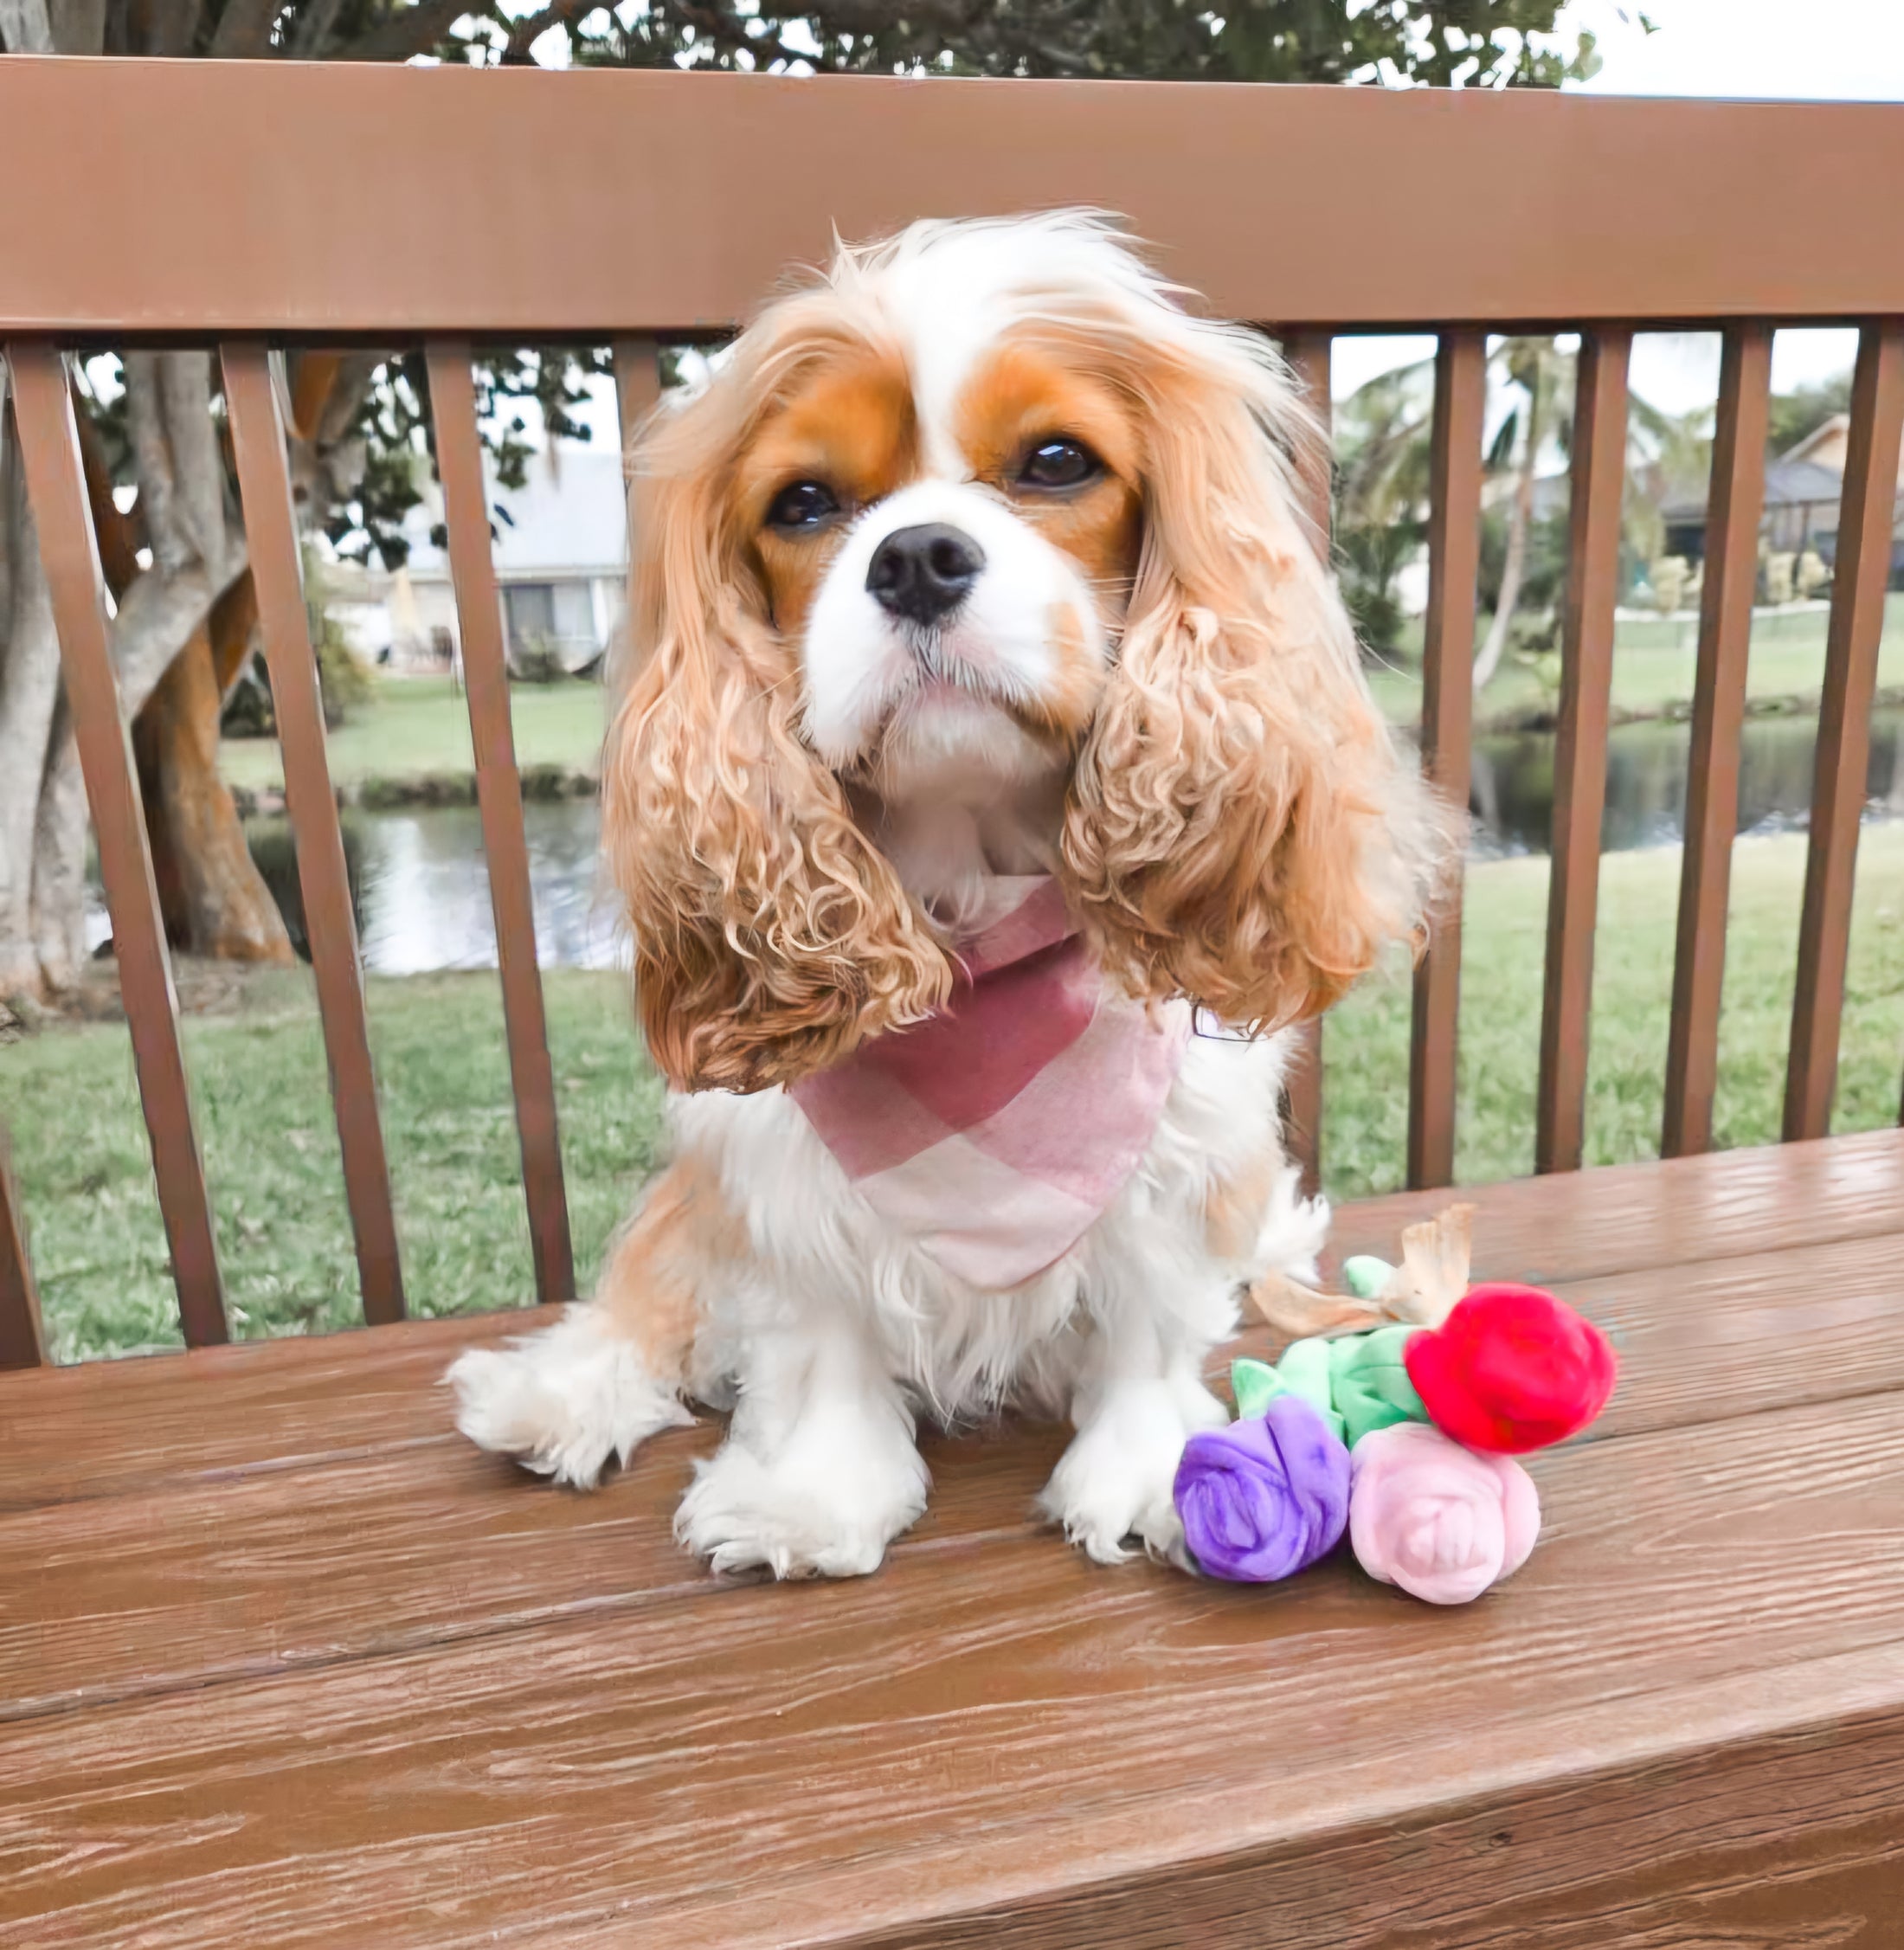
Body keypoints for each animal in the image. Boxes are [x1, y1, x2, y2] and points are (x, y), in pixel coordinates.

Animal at [447, 217, 1436, 1583]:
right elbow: (811, 1334)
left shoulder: (1181, 1143)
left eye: (1059, 462)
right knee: (651, 1284)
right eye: (804, 503)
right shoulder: (771, 1168)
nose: (916, 556)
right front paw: (808, 1498)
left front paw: (1150, 1473)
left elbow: (1150, 1313)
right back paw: (557, 1395)